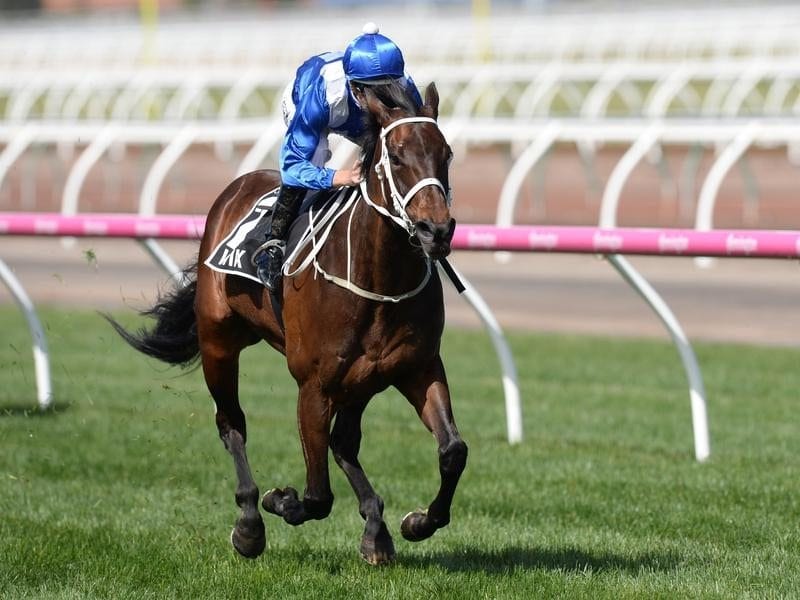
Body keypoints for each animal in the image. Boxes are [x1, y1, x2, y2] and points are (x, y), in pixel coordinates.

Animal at [107, 82, 468, 564]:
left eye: (446, 153)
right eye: (395, 155)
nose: (436, 231)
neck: (378, 277)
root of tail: (238, 186)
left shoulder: (418, 367)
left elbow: (453, 450)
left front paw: (417, 522)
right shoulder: (313, 386)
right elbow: (317, 497)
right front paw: (280, 501)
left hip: (360, 382)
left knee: (343, 443)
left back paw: (376, 528)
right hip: (219, 342)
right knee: (232, 424)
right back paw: (249, 524)